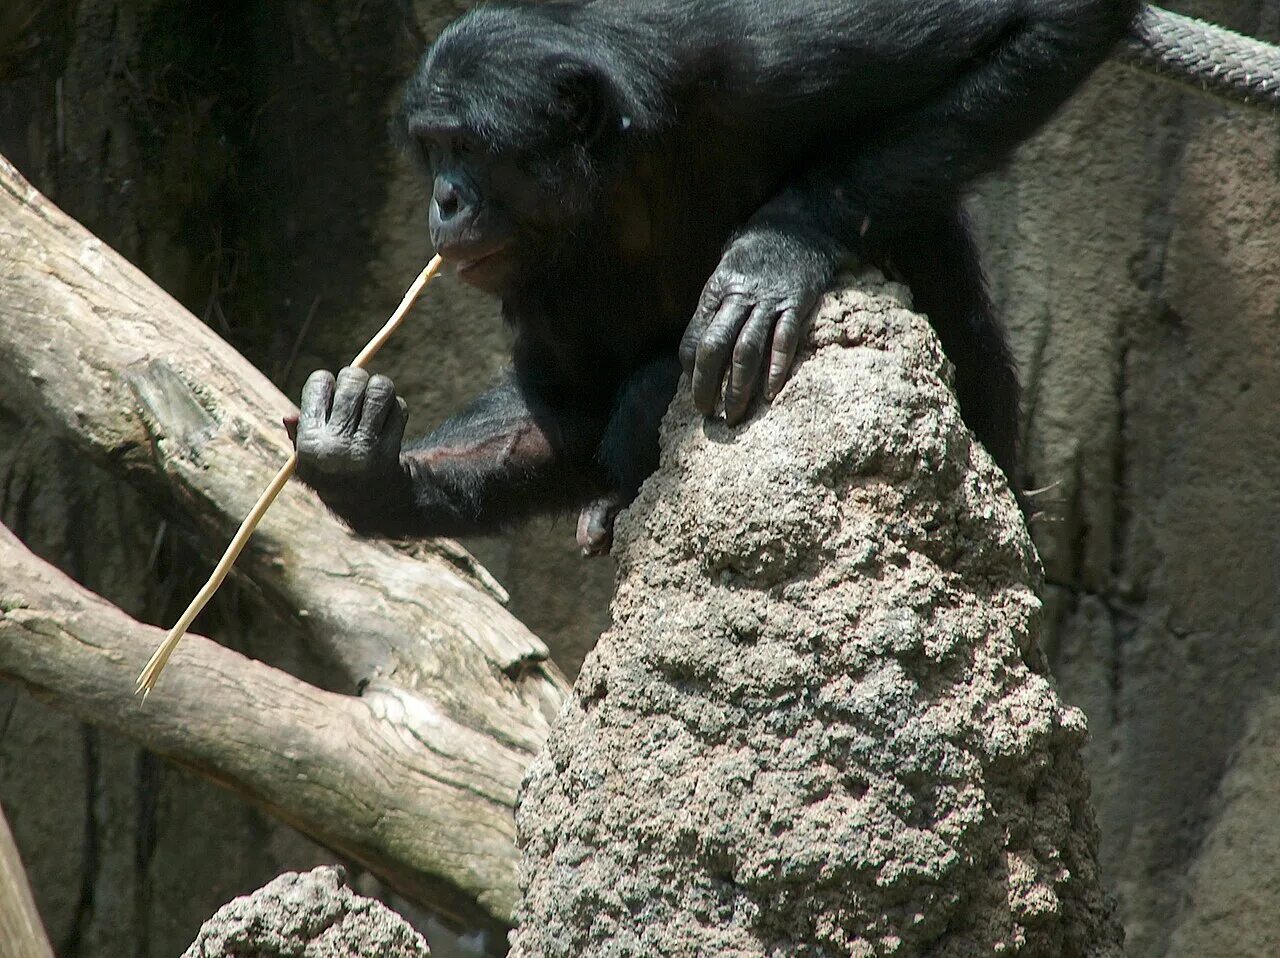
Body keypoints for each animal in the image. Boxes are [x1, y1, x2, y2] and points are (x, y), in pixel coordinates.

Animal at [296, 0, 1141, 553]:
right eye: (434, 147)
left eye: (469, 148)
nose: (444, 198)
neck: (619, 162)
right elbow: (565, 410)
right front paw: (359, 463)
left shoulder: (761, 52)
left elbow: (1047, 19)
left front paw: (772, 254)